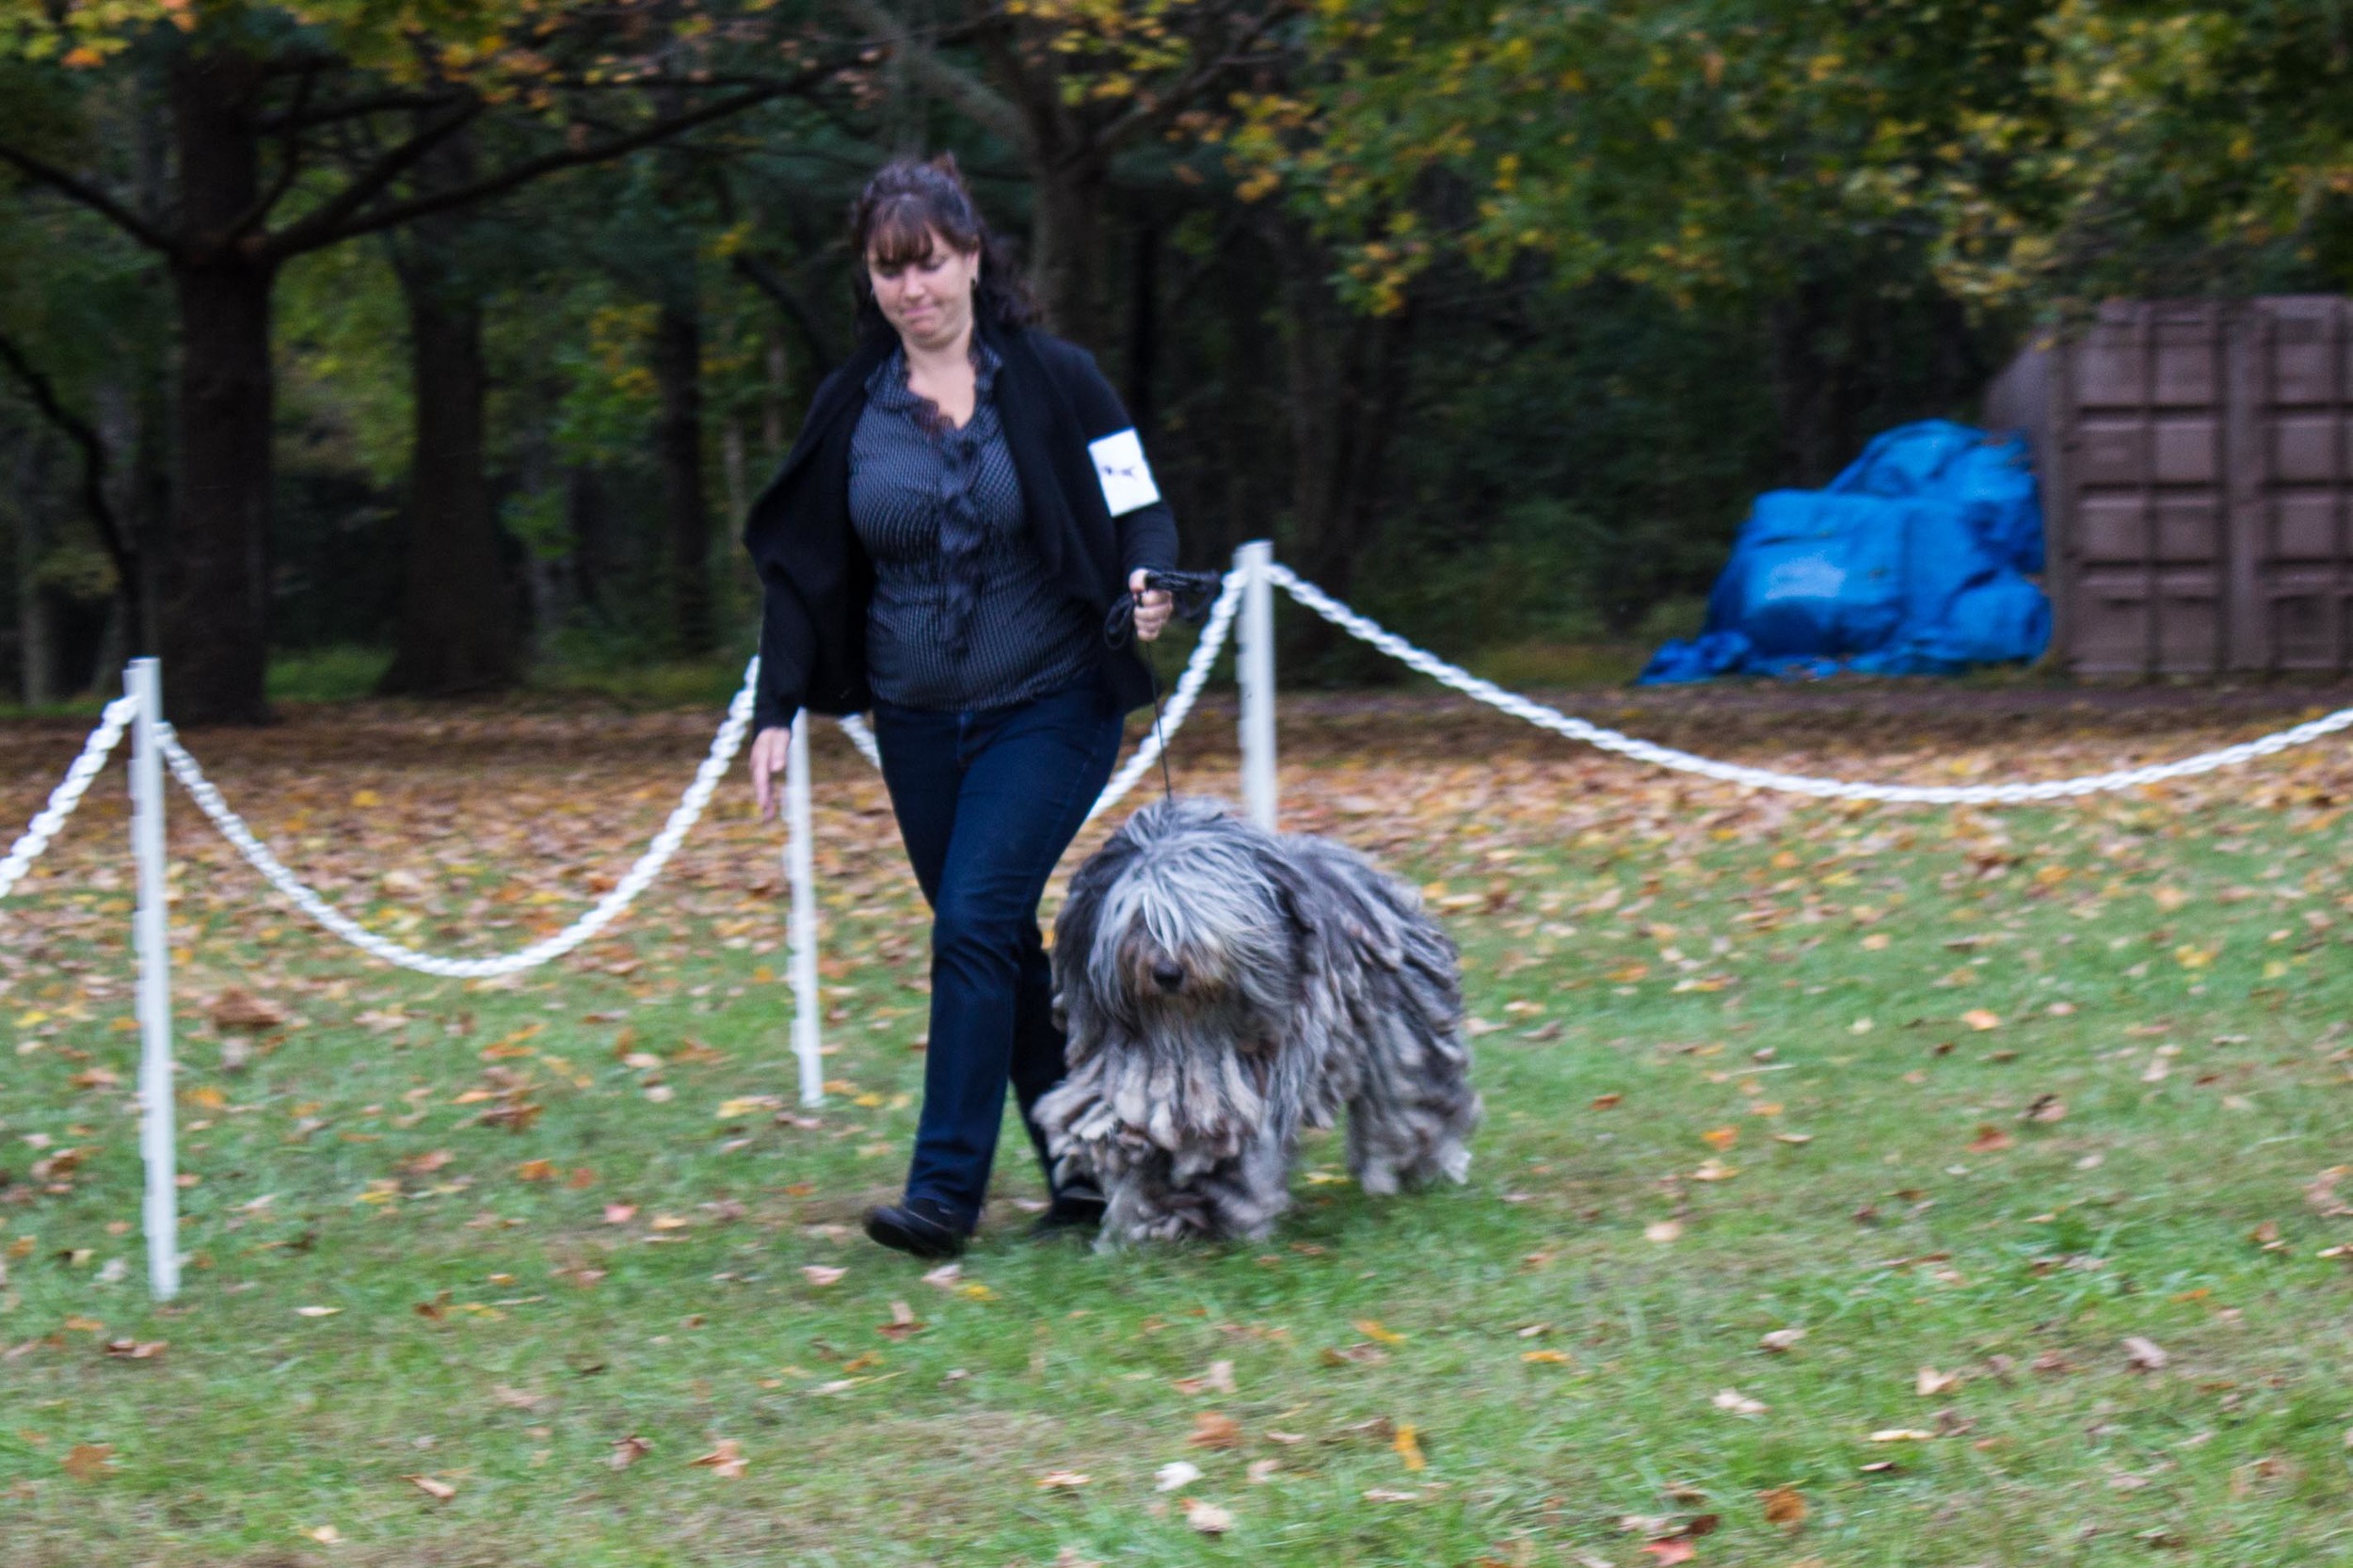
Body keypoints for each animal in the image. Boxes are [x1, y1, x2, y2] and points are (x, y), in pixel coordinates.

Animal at [1040, 800, 1478, 1242]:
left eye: (1195, 918)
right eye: (1138, 921)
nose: (1167, 972)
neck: (1184, 1027)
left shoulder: (1245, 1086)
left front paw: (1229, 1218)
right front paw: (1152, 1220)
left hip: (1402, 1037)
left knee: (1410, 1107)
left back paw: (1426, 1167)